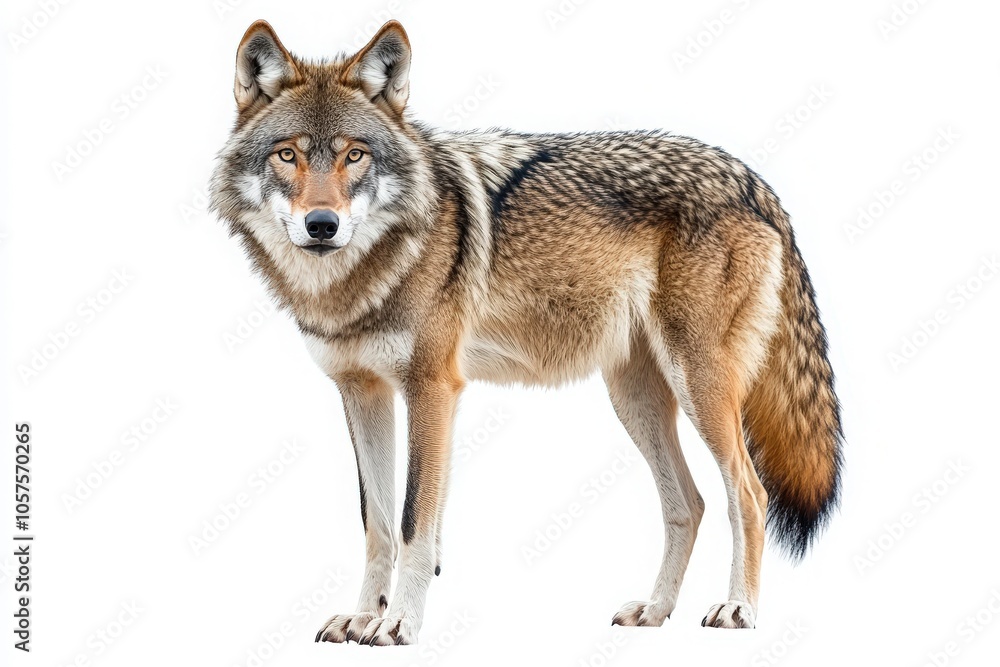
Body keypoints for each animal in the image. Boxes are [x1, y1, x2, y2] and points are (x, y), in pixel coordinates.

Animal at [210, 19, 843, 645]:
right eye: (288, 155)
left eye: (355, 156)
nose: (322, 225)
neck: (359, 277)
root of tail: (752, 178)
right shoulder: (361, 392)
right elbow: (378, 522)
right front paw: (363, 616)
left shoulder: (432, 388)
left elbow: (415, 521)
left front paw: (399, 623)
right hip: (635, 398)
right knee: (690, 503)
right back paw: (656, 611)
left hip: (699, 387)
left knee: (749, 494)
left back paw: (738, 608)